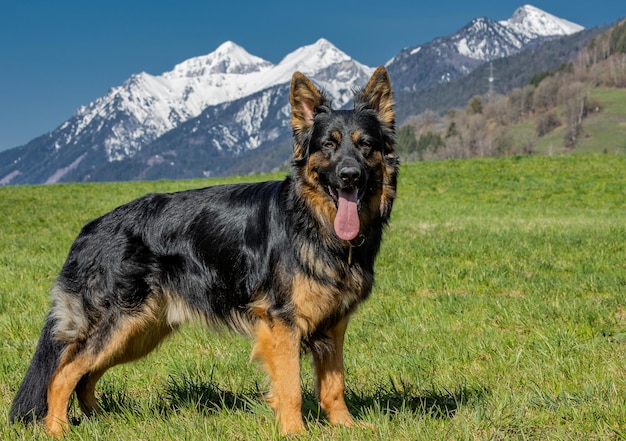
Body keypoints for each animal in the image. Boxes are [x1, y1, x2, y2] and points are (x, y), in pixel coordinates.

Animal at [9, 66, 398, 436]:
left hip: (138, 332)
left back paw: (98, 422)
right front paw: (294, 432)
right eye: (329, 145)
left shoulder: (334, 325)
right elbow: (291, 388)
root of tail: (90, 230)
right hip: (120, 323)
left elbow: (334, 385)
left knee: (85, 375)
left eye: (365, 146)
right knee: (62, 373)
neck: (311, 221)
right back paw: (58, 430)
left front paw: (345, 427)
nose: (350, 176)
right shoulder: (282, 323)